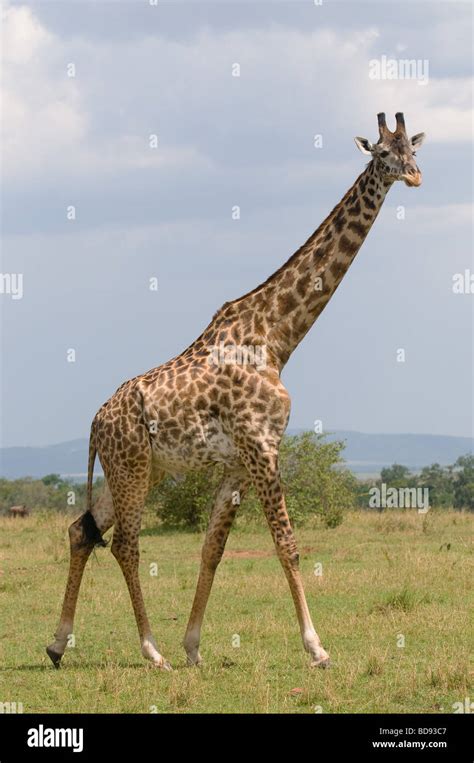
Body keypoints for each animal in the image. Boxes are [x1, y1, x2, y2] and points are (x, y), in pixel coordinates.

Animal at [47, 113, 425, 671]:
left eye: (412, 149)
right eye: (381, 154)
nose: (414, 176)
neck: (276, 337)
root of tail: (95, 422)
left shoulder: (238, 462)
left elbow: (212, 549)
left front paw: (194, 646)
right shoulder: (262, 447)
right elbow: (287, 544)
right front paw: (317, 648)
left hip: (131, 470)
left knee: (83, 529)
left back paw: (58, 644)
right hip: (132, 467)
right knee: (124, 545)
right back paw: (150, 650)